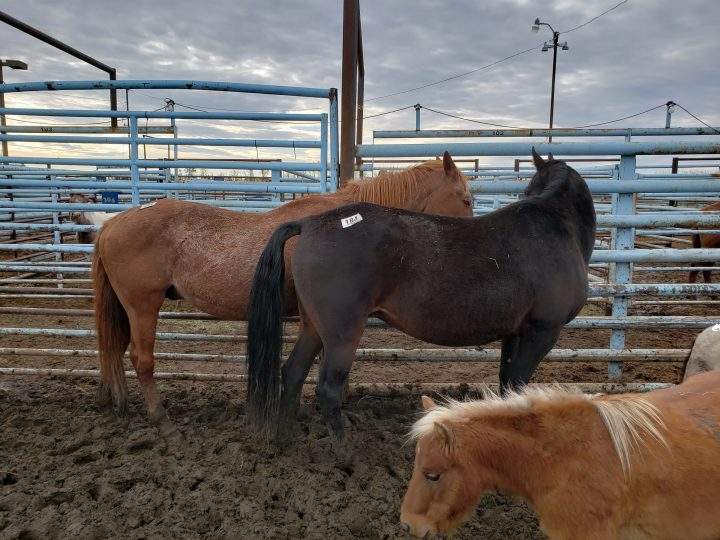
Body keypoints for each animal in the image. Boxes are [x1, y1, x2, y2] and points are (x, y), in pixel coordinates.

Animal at [93, 153, 472, 437]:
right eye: (466, 199)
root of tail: (112, 223)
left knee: (115, 350)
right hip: (143, 306)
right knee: (141, 359)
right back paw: (162, 421)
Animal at [246, 150, 596, 450]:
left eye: (527, 190)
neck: (555, 228)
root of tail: (310, 224)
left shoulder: (516, 332)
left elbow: (509, 384)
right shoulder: (543, 330)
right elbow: (520, 382)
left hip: (314, 327)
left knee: (293, 373)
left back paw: (285, 440)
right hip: (342, 332)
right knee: (328, 389)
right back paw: (344, 454)